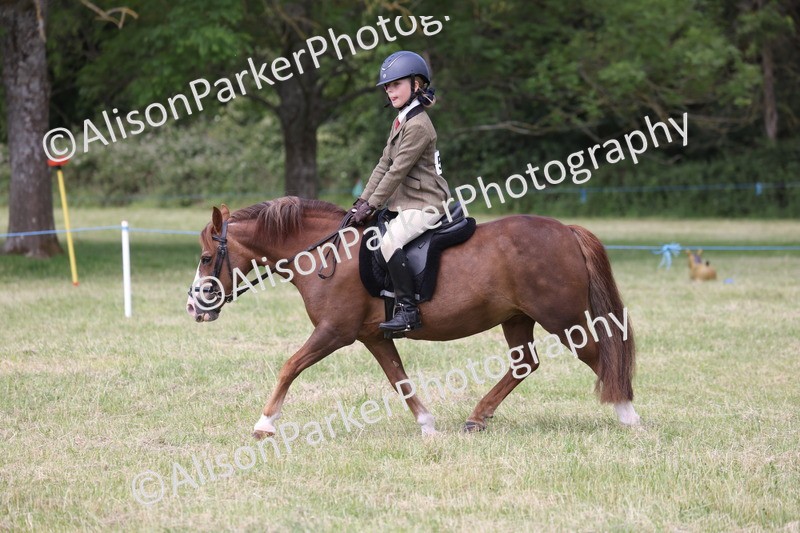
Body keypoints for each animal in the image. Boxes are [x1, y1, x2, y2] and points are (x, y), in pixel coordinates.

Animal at [185, 196, 641, 438]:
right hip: (516, 318)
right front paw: (427, 423)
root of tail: (566, 231)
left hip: (562, 319)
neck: (326, 252)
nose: (193, 306)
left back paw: (628, 415)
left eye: (207, 258)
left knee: (599, 356)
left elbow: (289, 366)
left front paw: (265, 423)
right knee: (524, 364)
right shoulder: (374, 336)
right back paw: (477, 417)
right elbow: (398, 379)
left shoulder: (334, 332)